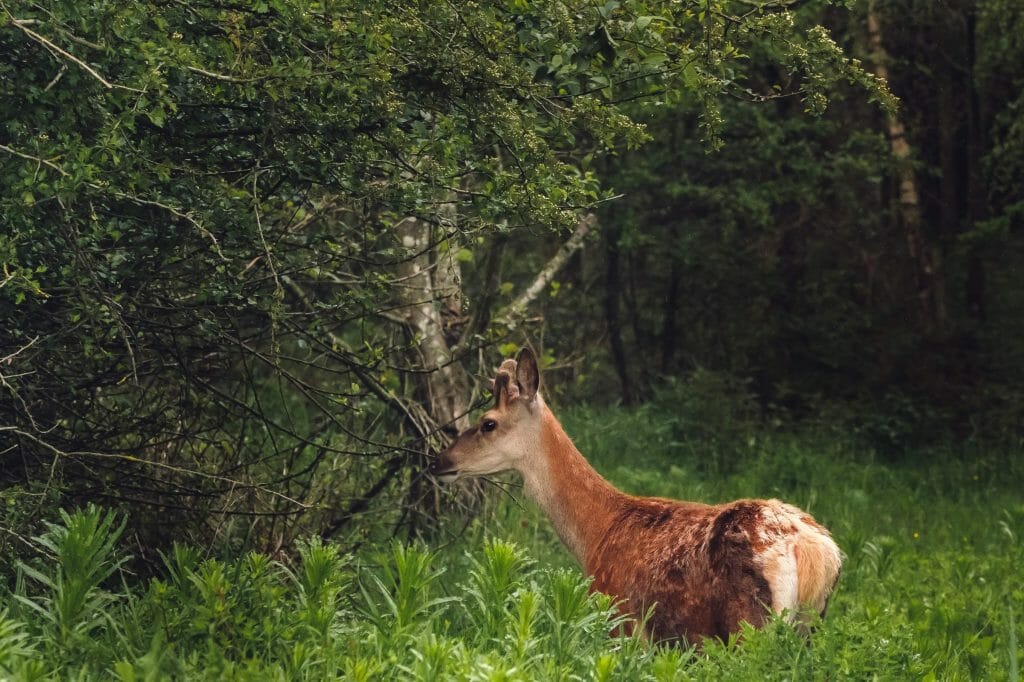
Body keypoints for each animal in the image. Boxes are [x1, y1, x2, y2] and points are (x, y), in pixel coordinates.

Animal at [429, 348, 842, 646]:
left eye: (488, 423)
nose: (439, 461)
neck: (596, 533)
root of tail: (814, 551)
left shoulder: (619, 614)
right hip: (811, 622)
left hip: (748, 623)